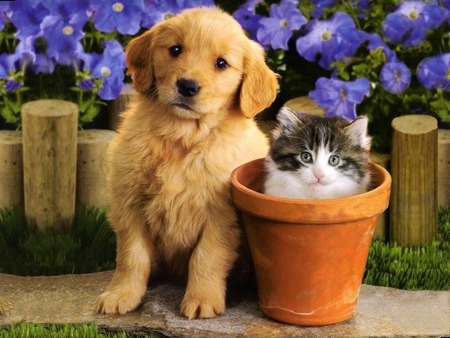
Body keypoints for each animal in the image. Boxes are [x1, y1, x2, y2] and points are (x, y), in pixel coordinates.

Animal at [95, 7, 278, 320]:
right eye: (175, 50)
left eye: (221, 63)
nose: (187, 86)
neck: (182, 137)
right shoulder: (129, 203)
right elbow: (132, 256)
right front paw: (121, 295)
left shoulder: (221, 214)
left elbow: (206, 257)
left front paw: (202, 299)